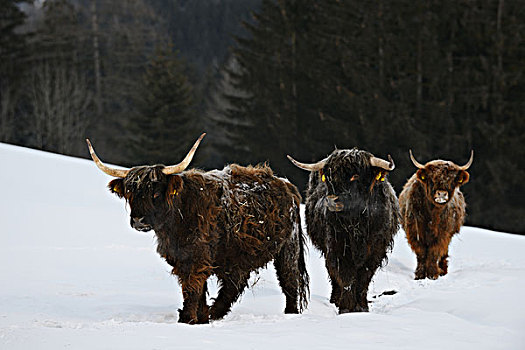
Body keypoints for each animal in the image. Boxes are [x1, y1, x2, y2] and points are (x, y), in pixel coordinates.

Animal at [86, 133, 308, 322]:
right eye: (130, 193)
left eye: (155, 192)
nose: (139, 221)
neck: (175, 221)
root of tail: (287, 185)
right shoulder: (182, 257)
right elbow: (197, 291)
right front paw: (199, 319)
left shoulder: (196, 258)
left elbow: (192, 289)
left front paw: (187, 320)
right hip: (237, 254)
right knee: (234, 285)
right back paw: (214, 313)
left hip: (287, 248)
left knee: (289, 281)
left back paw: (290, 314)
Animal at [286, 149, 398, 314]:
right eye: (329, 177)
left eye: (355, 176)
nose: (332, 200)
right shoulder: (337, 246)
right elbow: (345, 276)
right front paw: (346, 308)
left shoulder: (376, 250)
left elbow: (364, 277)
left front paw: (362, 307)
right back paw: (335, 300)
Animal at [400, 150, 472, 278]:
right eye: (432, 179)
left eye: (452, 180)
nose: (442, 194)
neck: (432, 215)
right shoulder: (414, 231)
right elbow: (421, 253)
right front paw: (420, 275)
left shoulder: (443, 233)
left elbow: (434, 252)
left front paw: (433, 274)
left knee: (444, 252)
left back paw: (443, 270)